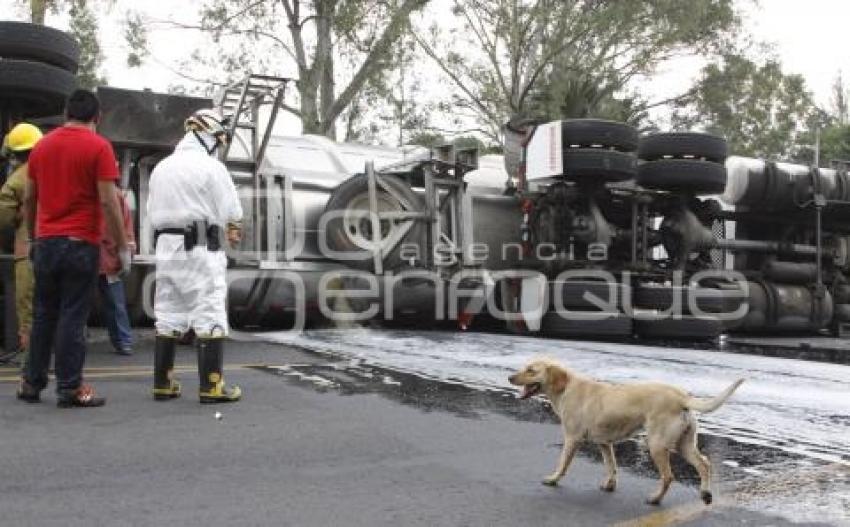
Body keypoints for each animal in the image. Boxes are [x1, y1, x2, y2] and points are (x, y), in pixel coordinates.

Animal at [510, 360, 744, 506]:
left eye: (531, 370)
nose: (510, 378)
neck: (566, 387)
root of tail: (681, 396)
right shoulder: (605, 443)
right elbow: (611, 466)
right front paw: (610, 485)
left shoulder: (572, 439)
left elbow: (562, 464)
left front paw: (553, 480)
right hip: (683, 444)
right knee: (704, 464)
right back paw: (705, 494)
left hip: (657, 445)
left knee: (668, 476)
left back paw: (655, 499)